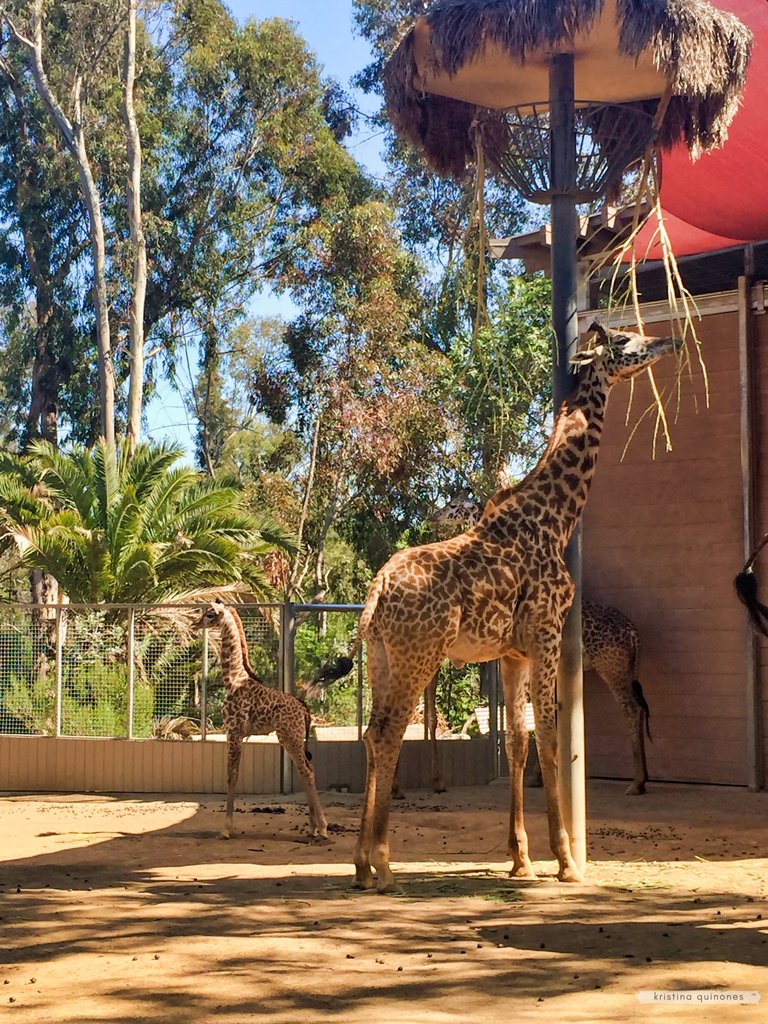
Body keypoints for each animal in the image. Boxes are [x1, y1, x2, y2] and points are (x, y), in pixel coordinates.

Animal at [195, 598, 327, 839]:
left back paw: (322, 827)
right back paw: (313, 827)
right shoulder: (238, 734)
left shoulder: (233, 731)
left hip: (290, 738)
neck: (233, 679)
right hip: (292, 739)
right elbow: (234, 774)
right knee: (307, 770)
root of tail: (305, 711)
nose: (195, 623)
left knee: (306, 771)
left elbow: (231, 775)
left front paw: (226, 829)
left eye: (210, 614)